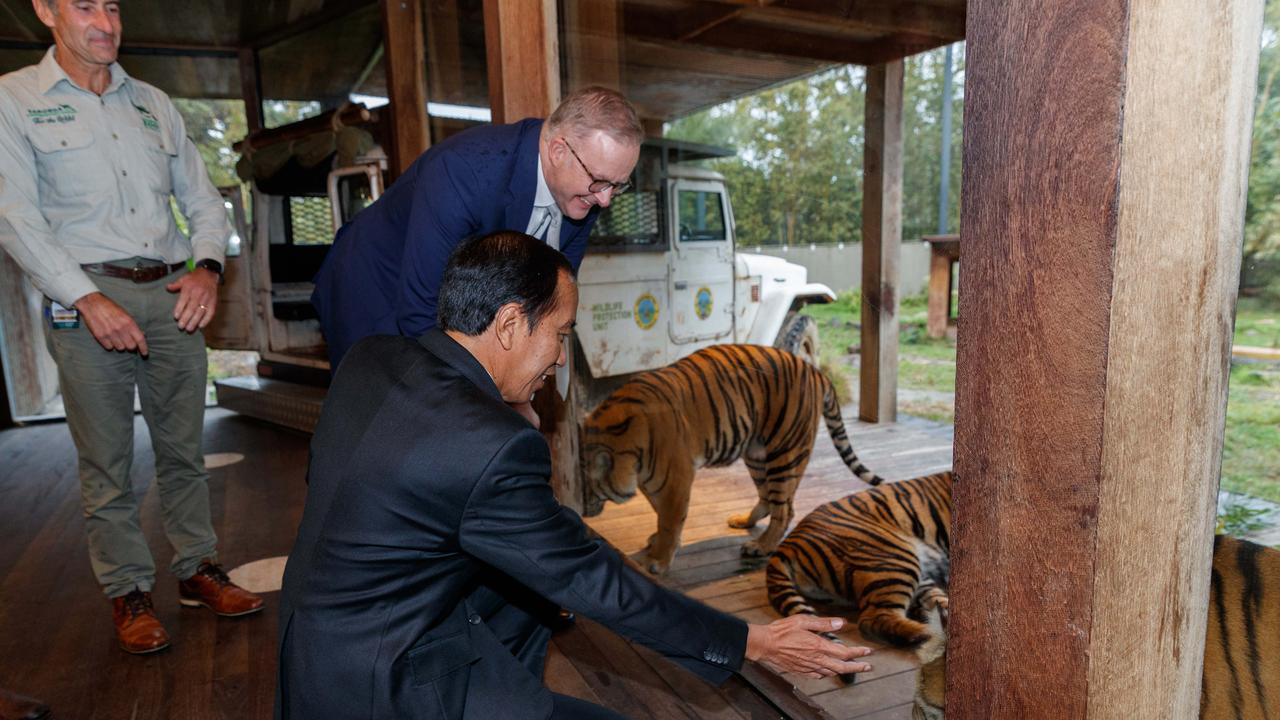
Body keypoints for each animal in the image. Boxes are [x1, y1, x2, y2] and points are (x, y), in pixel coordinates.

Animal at [578, 340, 880, 571]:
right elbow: (658, 511)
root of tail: (814, 370)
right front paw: (656, 540)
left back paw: (761, 546)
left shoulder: (676, 479)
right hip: (757, 453)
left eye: (586, 487)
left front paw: (658, 559)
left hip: (785, 451)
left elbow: (670, 520)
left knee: (785, 508)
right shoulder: (654, 482)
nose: (585, 510)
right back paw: (744, 520)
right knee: (768, 497)